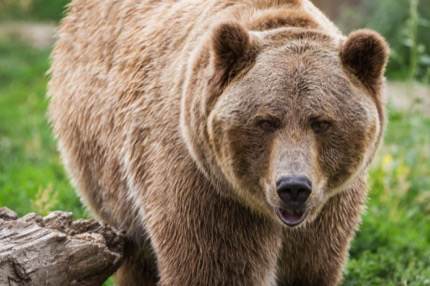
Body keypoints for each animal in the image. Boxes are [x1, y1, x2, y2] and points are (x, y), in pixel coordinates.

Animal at [47, 1, 390, 284]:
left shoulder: (331, 212)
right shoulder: (207, 192)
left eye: (321, 122)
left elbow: (312, 267)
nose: (293, 187)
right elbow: (213, 268)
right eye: (266, 121)